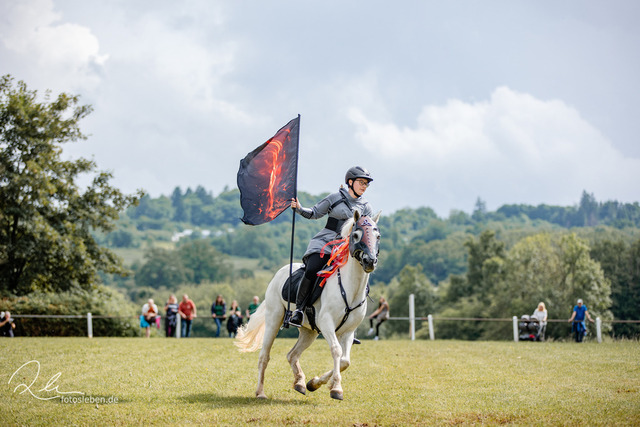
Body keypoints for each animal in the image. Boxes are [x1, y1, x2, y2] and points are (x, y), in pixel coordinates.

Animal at [234, 210, 381, 400]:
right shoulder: (327, 324)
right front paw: (336, 388)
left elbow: (345, 361)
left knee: (292, 354)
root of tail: (279, 274)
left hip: (309, 331)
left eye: (378, 236)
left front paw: (316, 383)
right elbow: (336, 351)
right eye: (356, 235)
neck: (350, 289)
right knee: (264, 356)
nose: (370, 261)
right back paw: (260, 392)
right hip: (274, 319)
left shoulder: (348, 332)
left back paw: (300, 383)